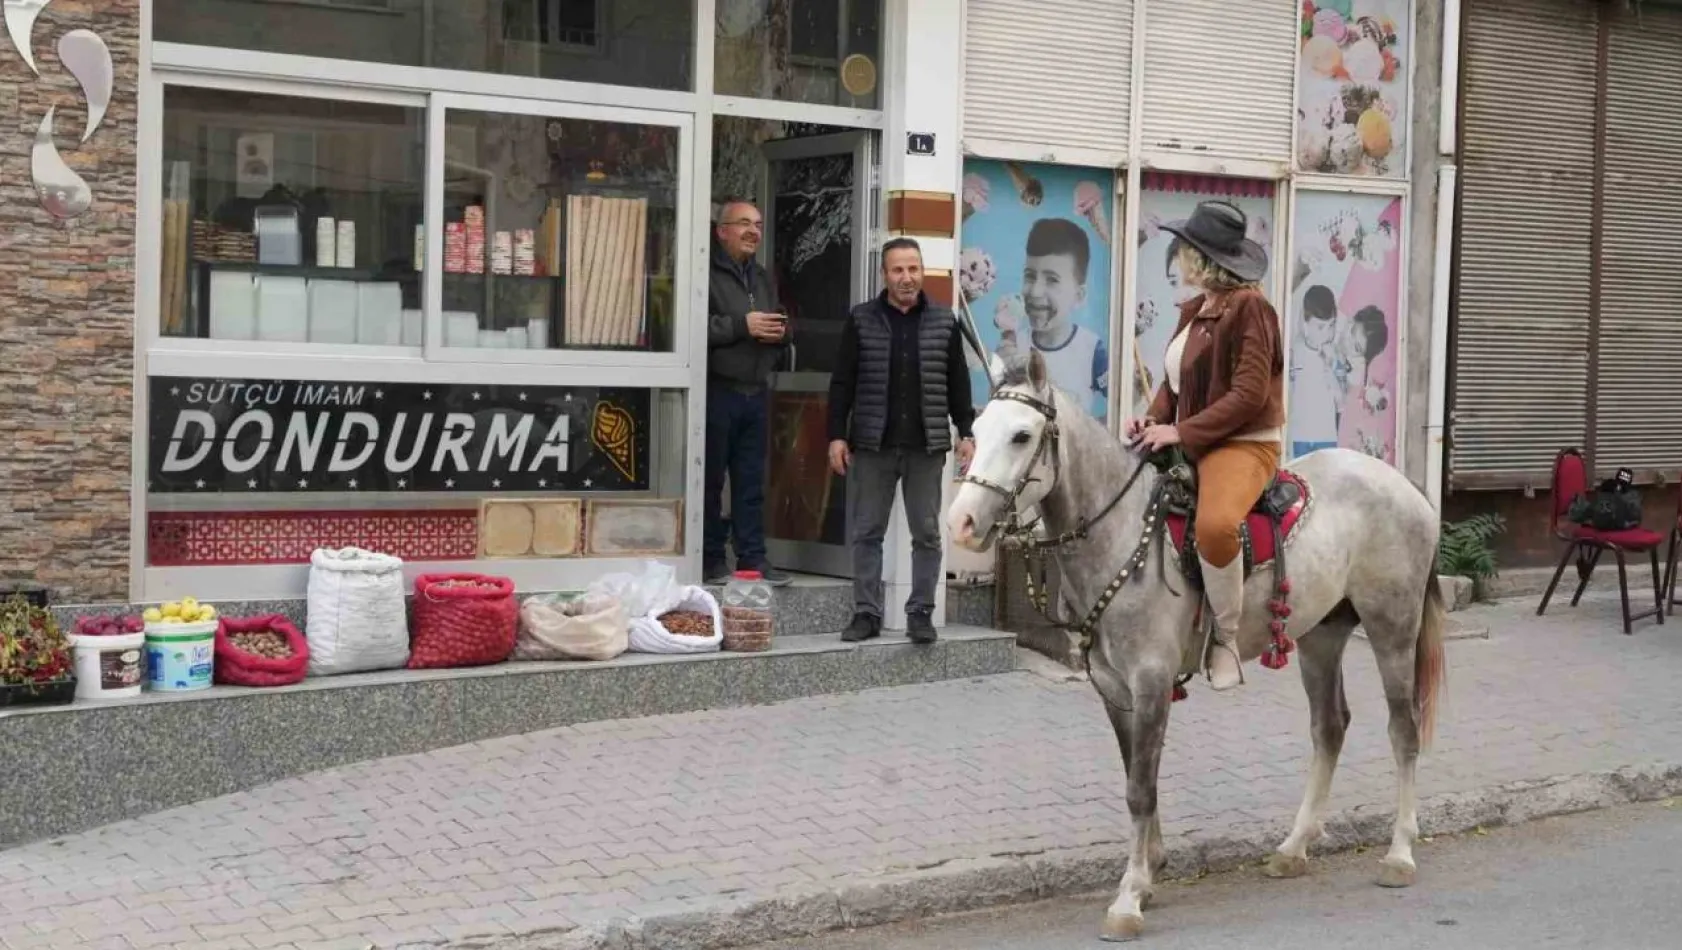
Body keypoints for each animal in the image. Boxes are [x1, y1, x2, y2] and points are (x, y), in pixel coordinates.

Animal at [948, 349, 1446, 941]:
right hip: (1321, 636)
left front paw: (1127, 900)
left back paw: (1400, 854)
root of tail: (1403, 483)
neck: (1120, 533)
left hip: (1393, 627)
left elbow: (1140, 788)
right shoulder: (1116, 690)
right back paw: (1293, 848)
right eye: (977, 428)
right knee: (1329, 728)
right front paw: (1148, 876)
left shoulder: (1151, 682)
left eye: (1022, 435)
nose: (962, 522)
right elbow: (1138, 775)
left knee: (1403, 730)